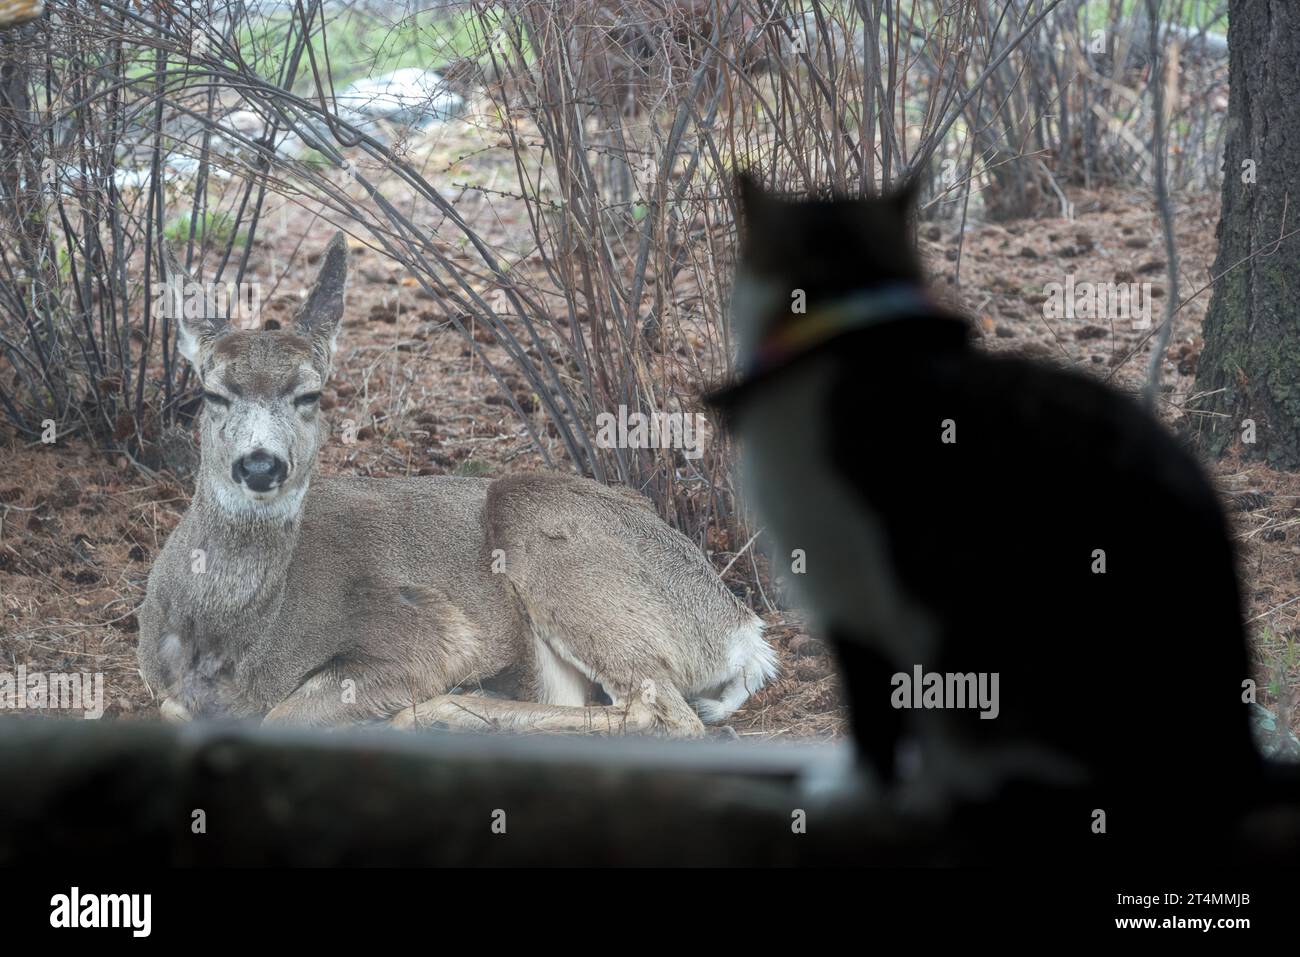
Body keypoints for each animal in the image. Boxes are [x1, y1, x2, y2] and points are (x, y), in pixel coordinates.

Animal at [137, 235, 774, 738]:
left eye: (310, 394)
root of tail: (741, 629)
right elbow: (171, 709)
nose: (261, 466)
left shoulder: (427, 634)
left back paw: (443, 714)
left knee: (664, 715)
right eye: (213, 393)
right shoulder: (163, 686)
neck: (235, 641)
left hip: (544, 530)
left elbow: (283, 716)